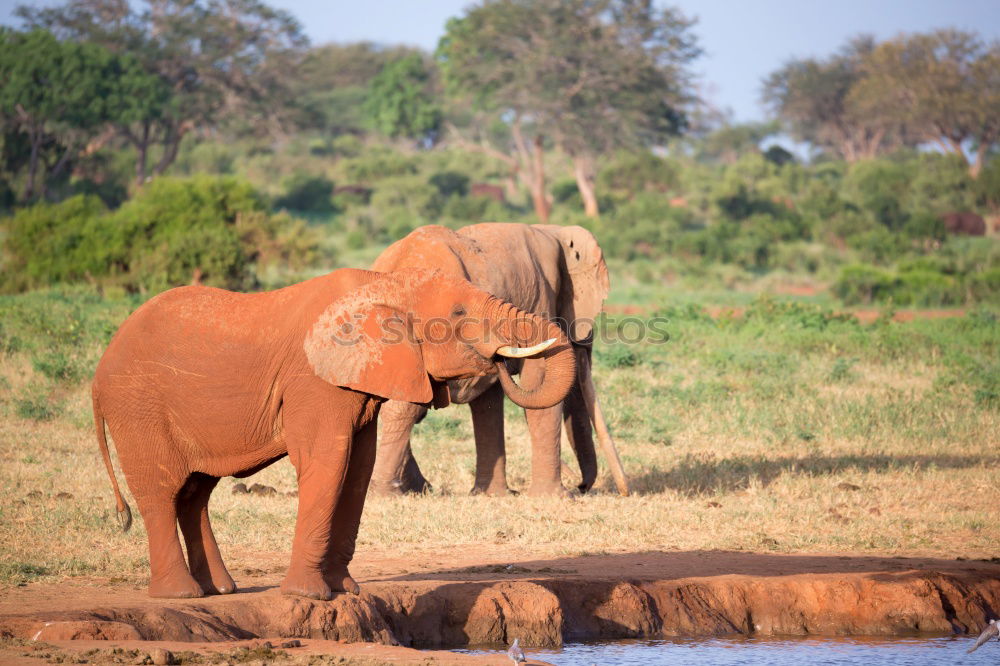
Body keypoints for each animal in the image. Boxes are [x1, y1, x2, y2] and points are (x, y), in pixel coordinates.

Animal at [94, 268, 580, 600]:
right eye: (459, 314)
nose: (500, 363)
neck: (386, 286)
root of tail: (99, 374)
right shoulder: (316, 382)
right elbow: (328, 462)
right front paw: (310, 596)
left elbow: (358, 470)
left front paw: (347, 590)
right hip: (137, 407)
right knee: (162, 490)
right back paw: (181, 594)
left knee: (195, 494)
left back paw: (220, 590)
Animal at [372, 226, 628, 496]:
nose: (581, 486)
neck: (554, 231)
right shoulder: (542, 296)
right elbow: (536, 378)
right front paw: (554, 498)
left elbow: (488, 402)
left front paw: (491, 495)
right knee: (407, 406)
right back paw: (390, 493)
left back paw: (416, 489)